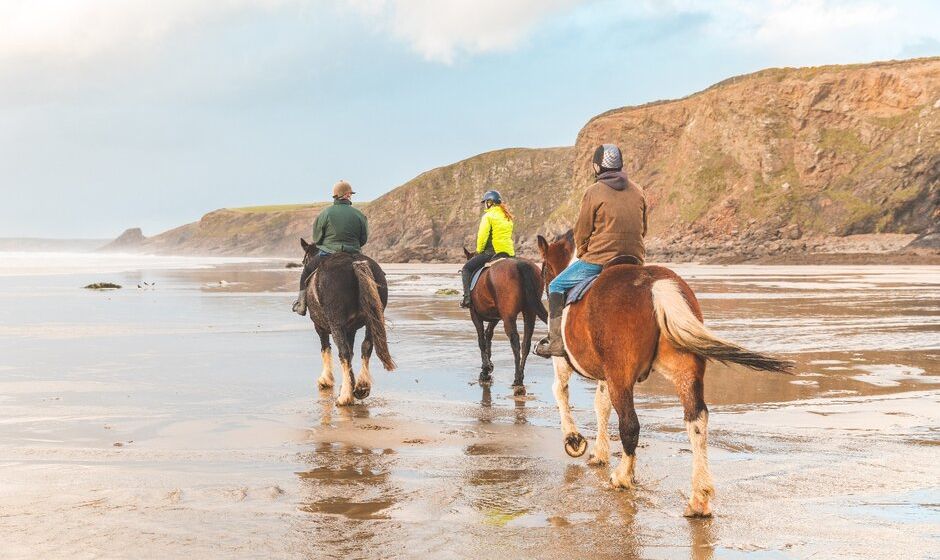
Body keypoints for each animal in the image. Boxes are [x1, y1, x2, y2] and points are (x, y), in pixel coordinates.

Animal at [302, 238, 396, 404]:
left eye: (305, 260)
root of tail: (354, 262)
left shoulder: (320, 327)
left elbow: (326, 349)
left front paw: (326, 380)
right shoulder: (351, 329)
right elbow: (351, 352)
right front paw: (351, 385)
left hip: (336, 324)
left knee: (343, 352)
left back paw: (345, 397)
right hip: (372, 319)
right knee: (366, 346)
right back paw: (362, 387)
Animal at [460, 249, 548, 394]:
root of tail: (520, 264)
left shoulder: (475, 316)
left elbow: (481, 340)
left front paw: (485, 371)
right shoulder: (495, 317)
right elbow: (488, 335)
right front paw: (488, 366)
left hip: (509, 317)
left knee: (515, 341)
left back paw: (517, 378)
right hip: (530, 312)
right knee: (526, 343)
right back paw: (520, 375)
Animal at [536, 231, 792, 516]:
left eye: (544, 269)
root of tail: (654, 286)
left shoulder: (566, 362)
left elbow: (560, 392)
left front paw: (573, 439)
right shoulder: (605, 375)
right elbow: (601, 406)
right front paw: (599, 453)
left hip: (622, 377)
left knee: (630, 425)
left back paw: (623, 477)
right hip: (683, 370)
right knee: (696, 420)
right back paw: (699, 497)